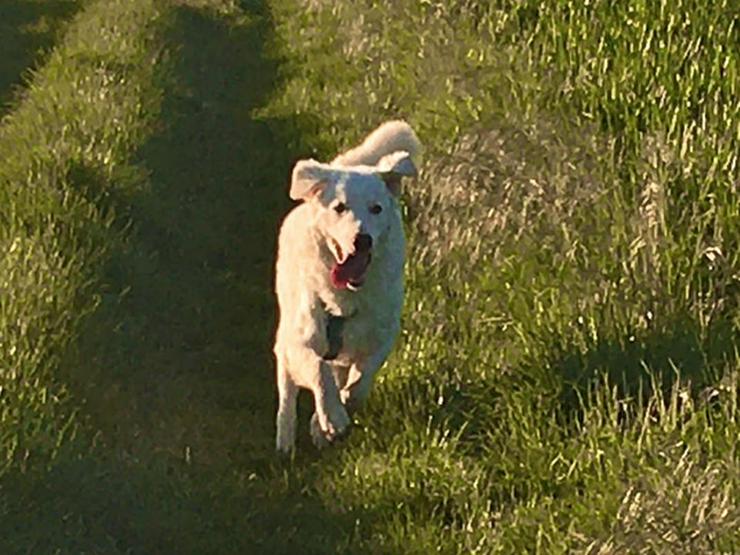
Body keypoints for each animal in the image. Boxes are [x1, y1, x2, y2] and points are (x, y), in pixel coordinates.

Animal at [274, 120, 422, 452]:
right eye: (339, 208)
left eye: (376, 209)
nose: (362, 239)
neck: (347, 296)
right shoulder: (300, 341)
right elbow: (318, 370)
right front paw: (331, 417)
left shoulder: (380, 337)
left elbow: (360, 381)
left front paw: (328, 419)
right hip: (284, 338)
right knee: (288, 389)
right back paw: (285, 440)